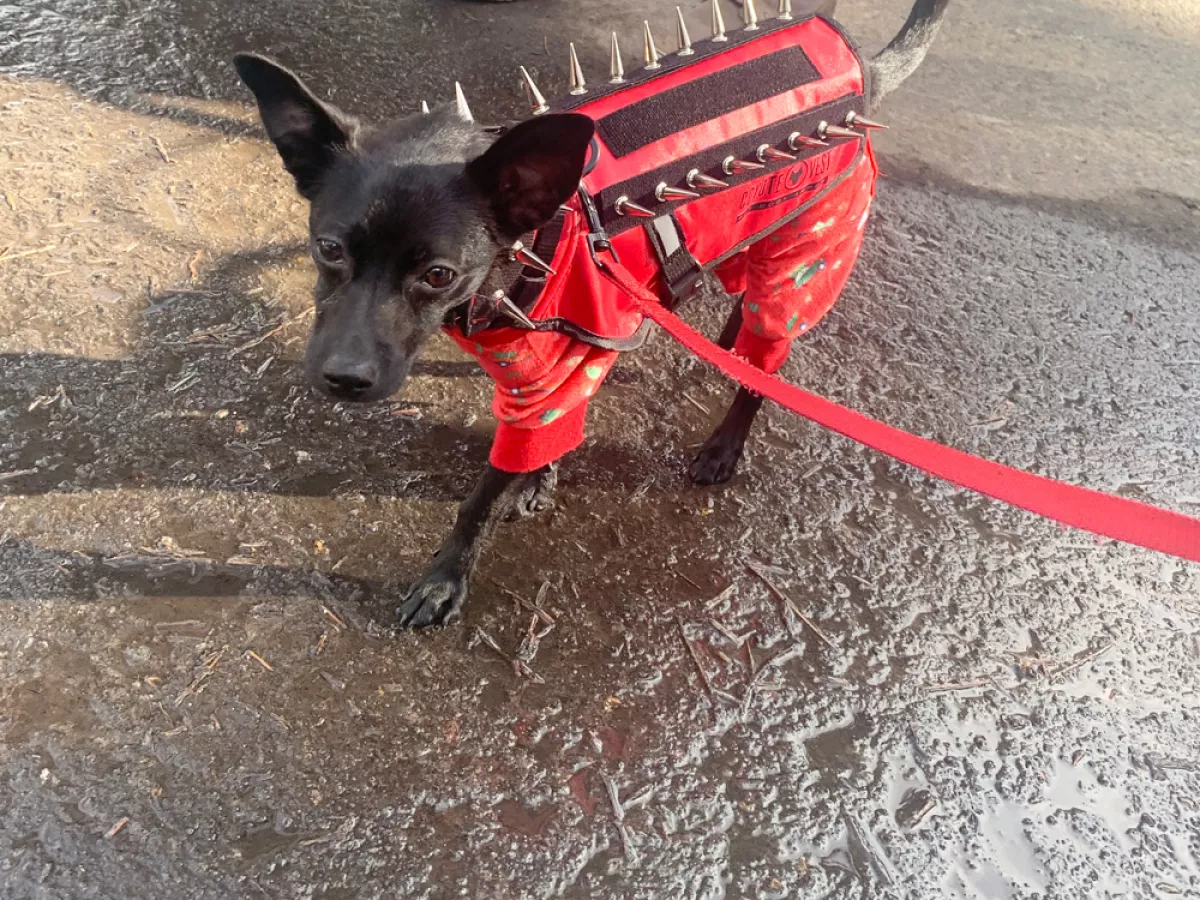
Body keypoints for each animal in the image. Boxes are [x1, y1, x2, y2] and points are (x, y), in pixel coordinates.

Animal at [231, 0, 945, 628]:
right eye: (328, 248)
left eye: (438, 275)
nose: (342, 378)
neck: (525, 246)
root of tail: (862, 64)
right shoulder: (546, 375)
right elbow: (539, 445)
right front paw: (537, 482)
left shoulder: (551, 376)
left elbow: (479, 499)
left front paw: (446, 579)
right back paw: (725, 340)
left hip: (804, 255)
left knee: (762, 366)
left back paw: (724, 443)